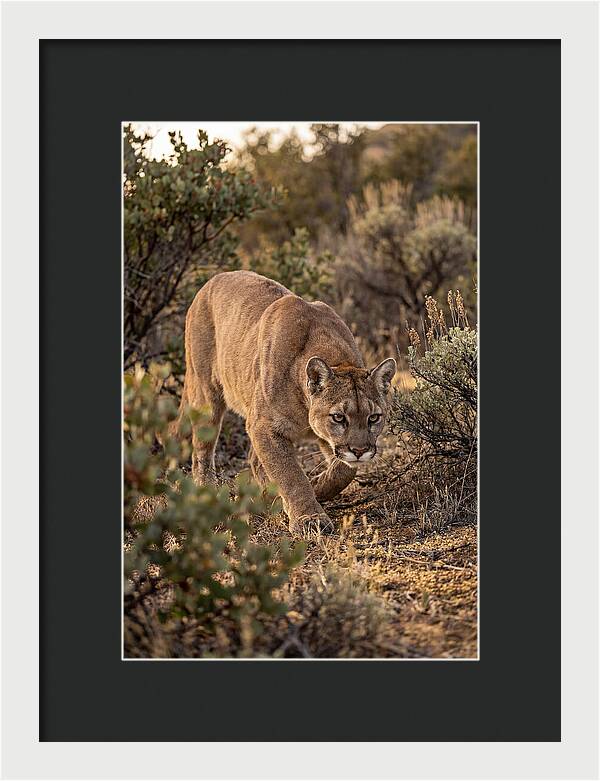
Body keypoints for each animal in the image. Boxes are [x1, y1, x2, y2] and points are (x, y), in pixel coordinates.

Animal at [173, 270, 396, 535]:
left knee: (254, 460)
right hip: (207, 394)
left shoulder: (322, 438)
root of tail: (213, 279)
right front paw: (309, 518)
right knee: (202, 451)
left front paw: (316, 487)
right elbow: (290, 474)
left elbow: (344, 470)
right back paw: (208, 490)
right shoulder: (264, 426)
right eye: (339, 417)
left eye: (374, 418)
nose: (360, 451)